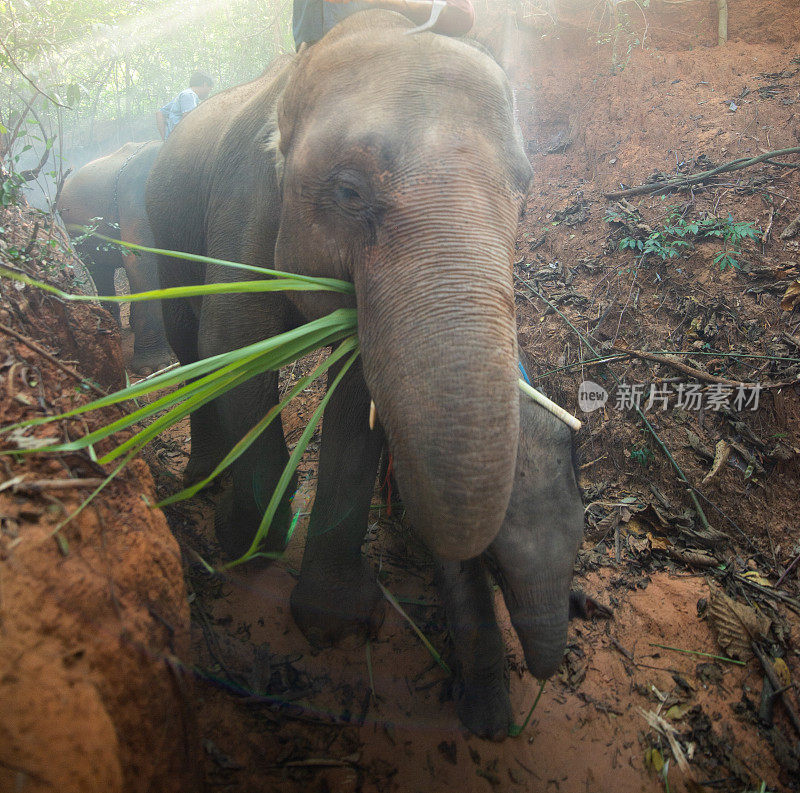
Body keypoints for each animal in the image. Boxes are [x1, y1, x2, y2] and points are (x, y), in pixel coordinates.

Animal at [147, 9, 580, 736]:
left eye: (523, 193)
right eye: (349, 191)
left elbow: (359, 397)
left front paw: (337, 623)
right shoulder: (242, 204)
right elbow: (233, 348)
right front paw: (246, 546)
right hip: (162, 228)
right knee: (187, 343)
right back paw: (200, 482)